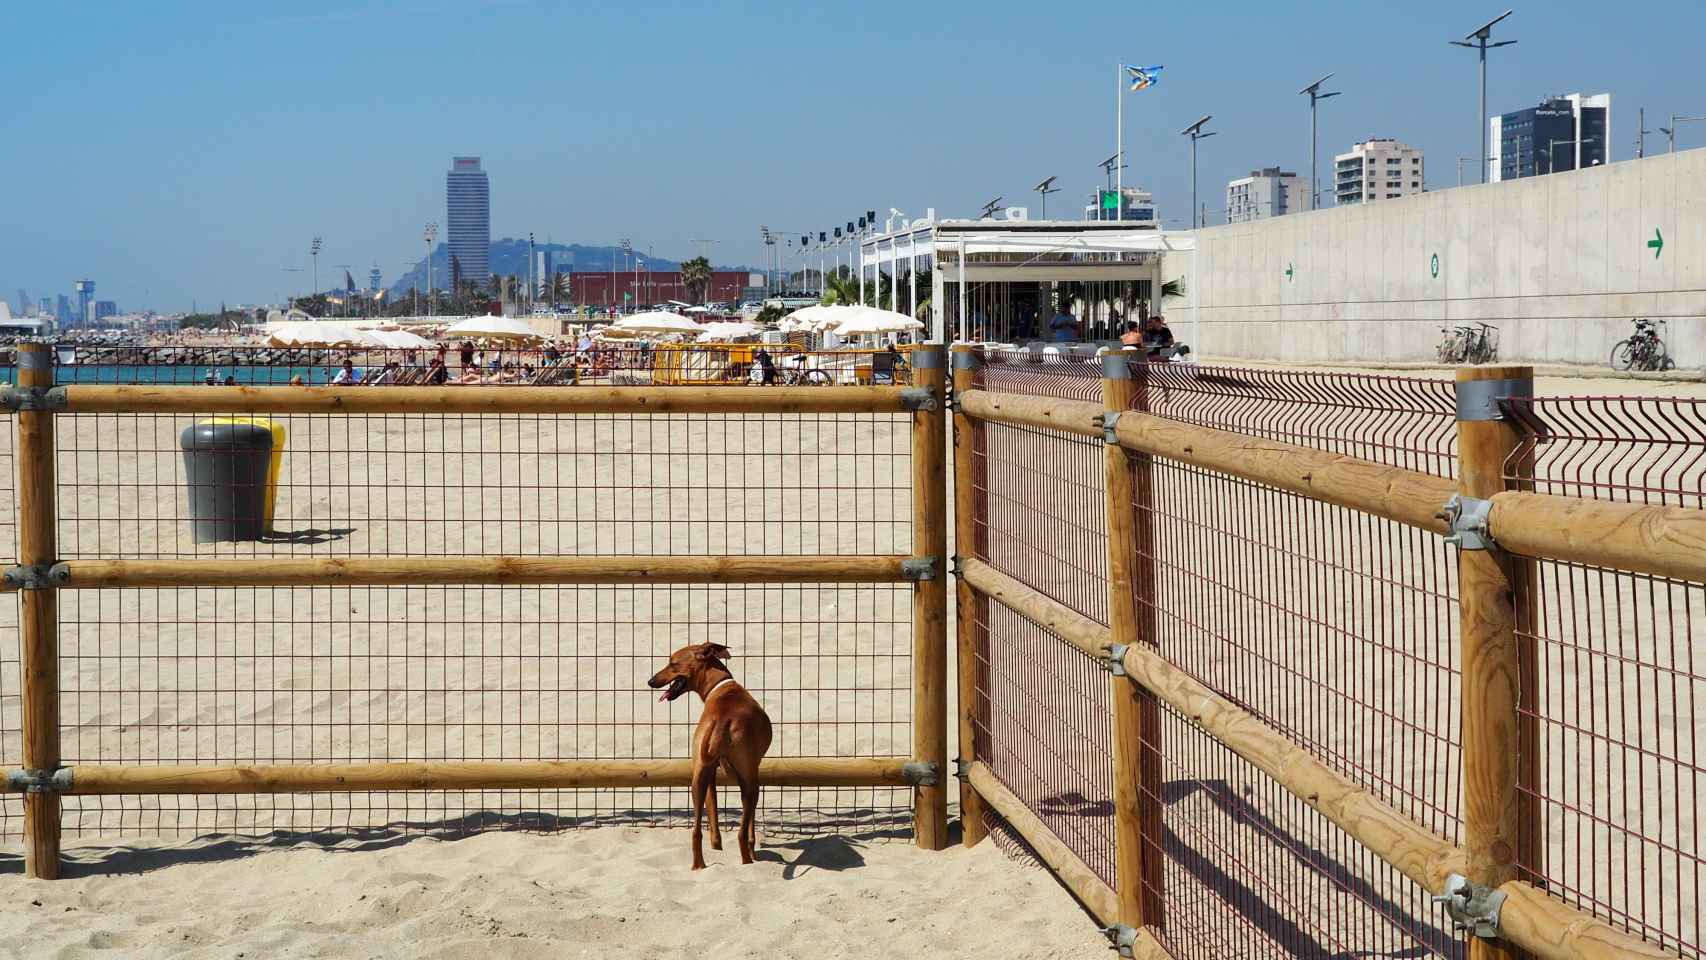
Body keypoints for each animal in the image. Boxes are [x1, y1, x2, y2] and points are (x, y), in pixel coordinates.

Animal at [644, 644, 774, 873]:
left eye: (673, 663)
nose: (650, 681)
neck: (720, 687)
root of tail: (723, 718)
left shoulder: (710, 773)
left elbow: (712, 811)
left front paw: (717, 845)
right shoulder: (751, 776)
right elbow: (750, 825)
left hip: (698, 780)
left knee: (696, 831)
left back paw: (699, 865)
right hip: (750, 782)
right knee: (742, 833)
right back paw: (747, 862)